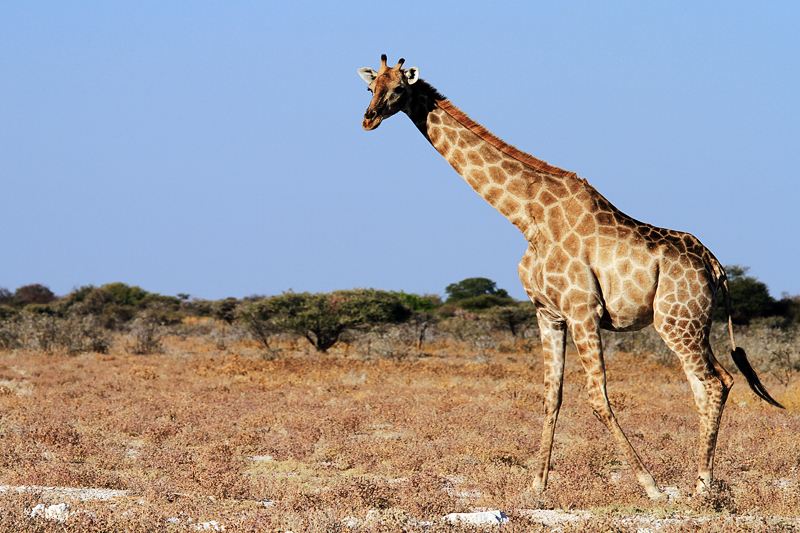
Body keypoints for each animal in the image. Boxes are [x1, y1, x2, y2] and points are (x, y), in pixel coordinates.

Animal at [360, 55, 784, 498]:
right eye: (369, 88)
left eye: (398, 90)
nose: (368, 119)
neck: (525, 218)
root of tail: (717, 267)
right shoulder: (548, 314)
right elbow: (552, 395)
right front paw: (536, 484)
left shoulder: (583, 310)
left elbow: (597, 397)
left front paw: (649, 485)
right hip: (693, 323)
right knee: (715, 381)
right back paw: (702, 480)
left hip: (677, 321)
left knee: (712, 383)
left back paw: (702, 485)